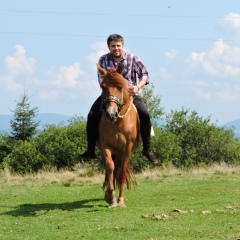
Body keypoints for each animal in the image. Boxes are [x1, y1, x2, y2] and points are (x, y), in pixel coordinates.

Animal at [96, 62, 142, 207]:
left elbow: (122, 173)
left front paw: (120, 201)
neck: (117, 123)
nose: (111, 114)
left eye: (120, 87)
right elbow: (110, 167)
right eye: (102, 86)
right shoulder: (106, 145)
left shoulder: (127, 148)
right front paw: (111, 196)